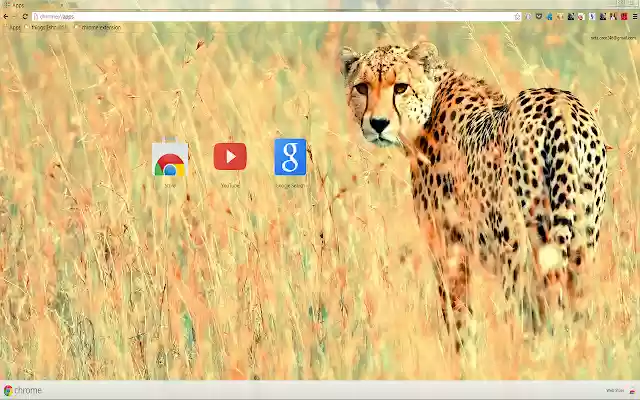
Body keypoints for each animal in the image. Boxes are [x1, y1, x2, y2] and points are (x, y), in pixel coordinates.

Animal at [339, 41, 608, 352]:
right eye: (362, 87)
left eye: (401, 87)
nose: (378, 123)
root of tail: (561, 105)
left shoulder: (447, 244)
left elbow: (456, 312)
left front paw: (460, 354)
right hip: (582, 241)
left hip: (518, 246)